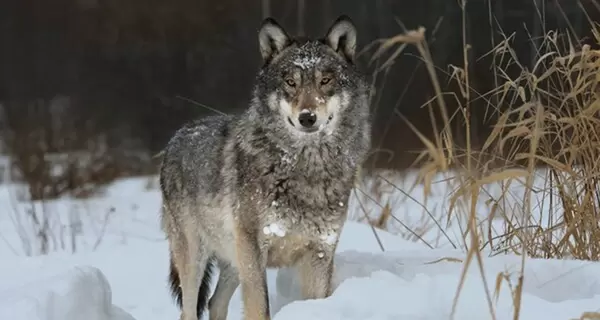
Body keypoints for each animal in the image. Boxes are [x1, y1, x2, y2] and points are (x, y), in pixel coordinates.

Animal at [159, 15, 372, 320]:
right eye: (291, 82)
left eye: (325, 80)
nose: (307, 117)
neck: (306, 169)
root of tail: (177, 137)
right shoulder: (254, 250)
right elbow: (260, 309)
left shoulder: (320, 251)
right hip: (196, 258)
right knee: (189, 310)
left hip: (232, 260)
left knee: (215, 303)